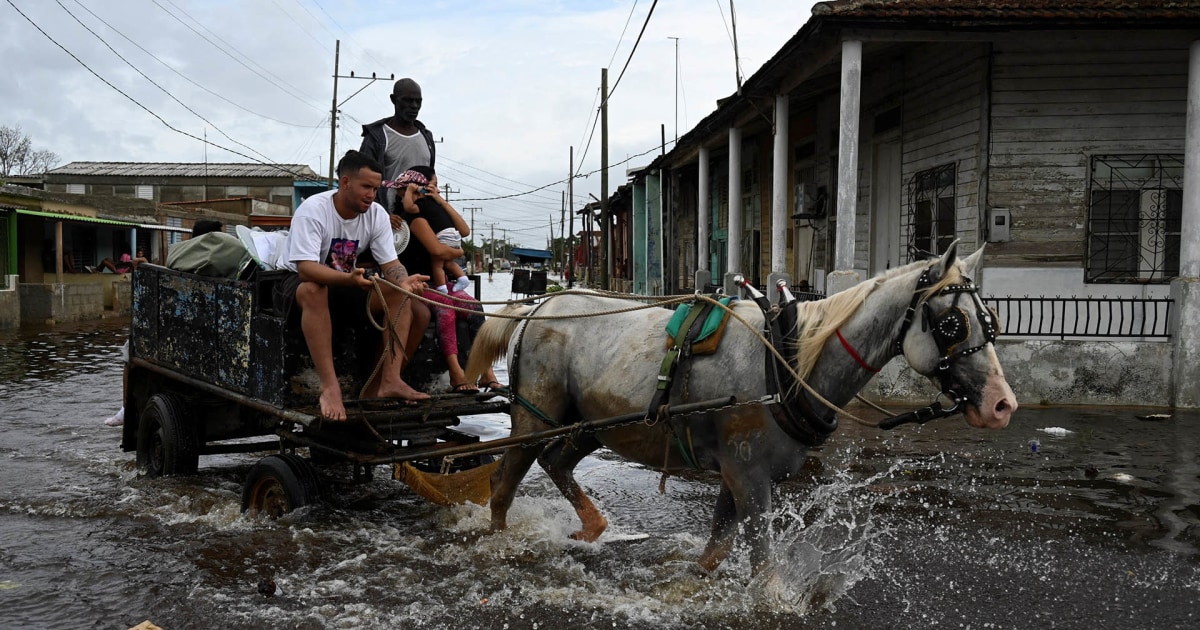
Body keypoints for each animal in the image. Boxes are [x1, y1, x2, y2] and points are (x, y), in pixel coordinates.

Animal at [465, 242, 1012, 573]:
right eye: (953, 325)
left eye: (992, 319)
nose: (1002, 405)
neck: (787, 362)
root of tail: (535, 307)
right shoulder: (749, 475)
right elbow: (764, 566)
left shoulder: (738, 473)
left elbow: (715, 551)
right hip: (535, 416)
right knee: (505, 482)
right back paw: (499, 539)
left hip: (590, 425)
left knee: (555, 462)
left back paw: (593, 527)